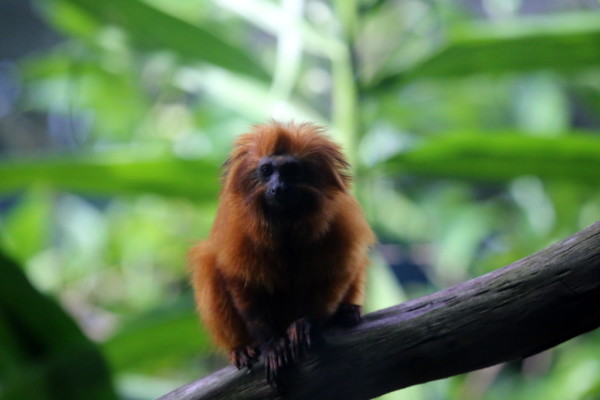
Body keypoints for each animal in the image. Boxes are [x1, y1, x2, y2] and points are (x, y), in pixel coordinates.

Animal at [188, 121, 376, 388]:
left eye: (290, 170)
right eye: (266, 171)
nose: (278, 187)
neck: (286, 223)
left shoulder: (341, 219)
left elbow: (338, 273)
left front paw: (305, 324)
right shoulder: (236, 227)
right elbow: (239, 280)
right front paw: (271, 345)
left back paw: (346, 312)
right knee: (207, 264)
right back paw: (242, 347)